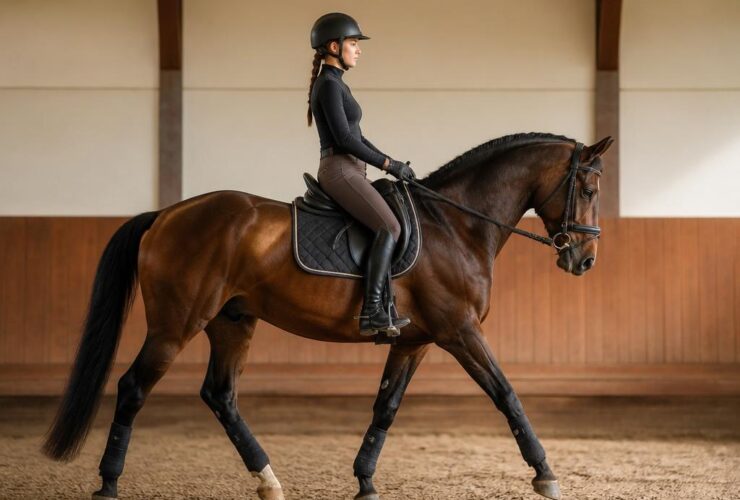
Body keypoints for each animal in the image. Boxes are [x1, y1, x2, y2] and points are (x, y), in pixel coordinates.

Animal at [42, 132, 613, 500]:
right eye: (588, 190)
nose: (584, 261)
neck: (455, 225)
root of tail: (165, 214)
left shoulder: (415, 340)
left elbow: (386, 408)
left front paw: (364, 480)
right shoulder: (460, 331)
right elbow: (506, 394)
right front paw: (545, 473)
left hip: (232, 321)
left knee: (220, 395)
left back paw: (268, 480)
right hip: (175, 324)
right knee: (134, 387)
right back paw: (109, 482)